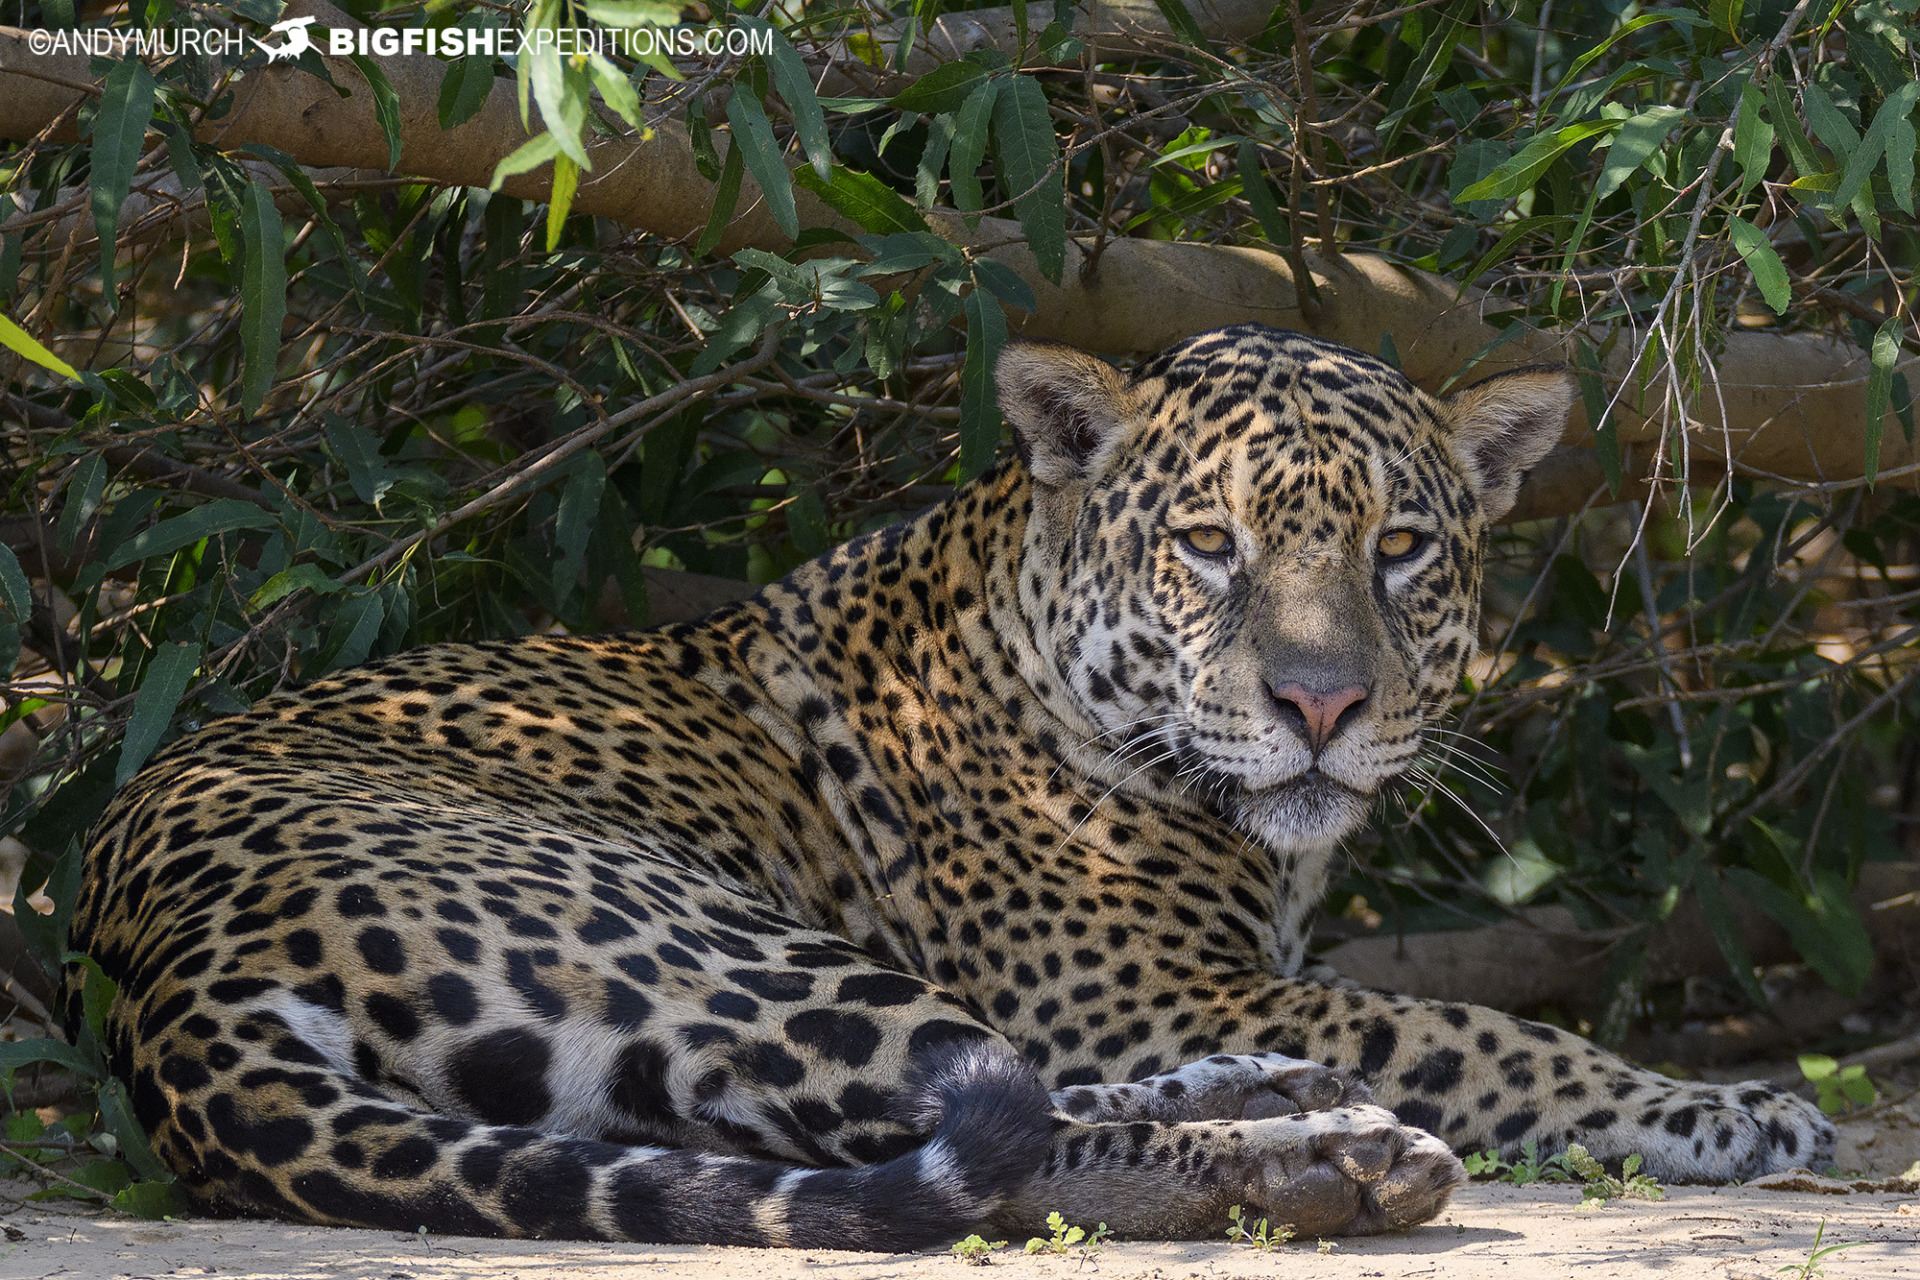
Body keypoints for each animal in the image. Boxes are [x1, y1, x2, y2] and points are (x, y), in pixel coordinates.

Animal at [65, 323, 1833, 1250]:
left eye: (1402, 548)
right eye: (1211, 544)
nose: (1321, 704)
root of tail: (165, 987)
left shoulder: (1171, 991)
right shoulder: (1123, 987)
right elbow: (1476, 1032)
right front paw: (1725, 1112)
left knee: (895, 1124)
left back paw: (1277, 1101)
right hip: (692, 925)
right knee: (965, 1123)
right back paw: (1323, 1157)